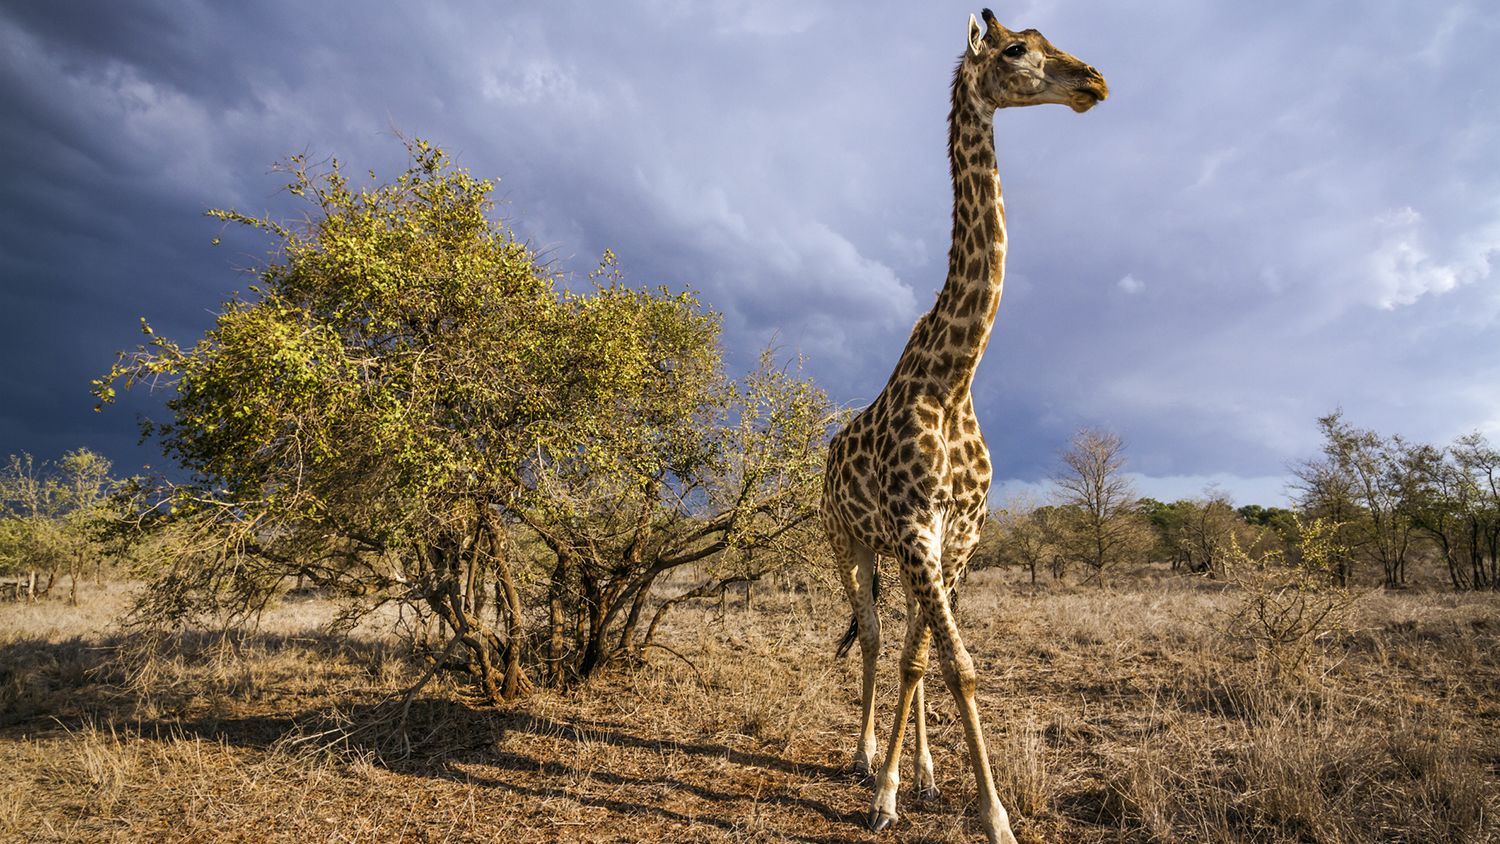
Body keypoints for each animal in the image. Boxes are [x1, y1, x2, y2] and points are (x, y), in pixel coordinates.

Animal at [820, 9, 1107, 843]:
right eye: (1016, 50)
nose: (1094, 82)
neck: (955, 376)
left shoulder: (960, 539)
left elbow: (936, 662)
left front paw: (934, 787)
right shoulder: (916, 529)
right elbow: (951, 663)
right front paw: (958, 808)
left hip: (903, 552)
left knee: (902, 644)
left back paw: (913, 769)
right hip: (847, 542)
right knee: (872, 636)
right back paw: (863, 759)